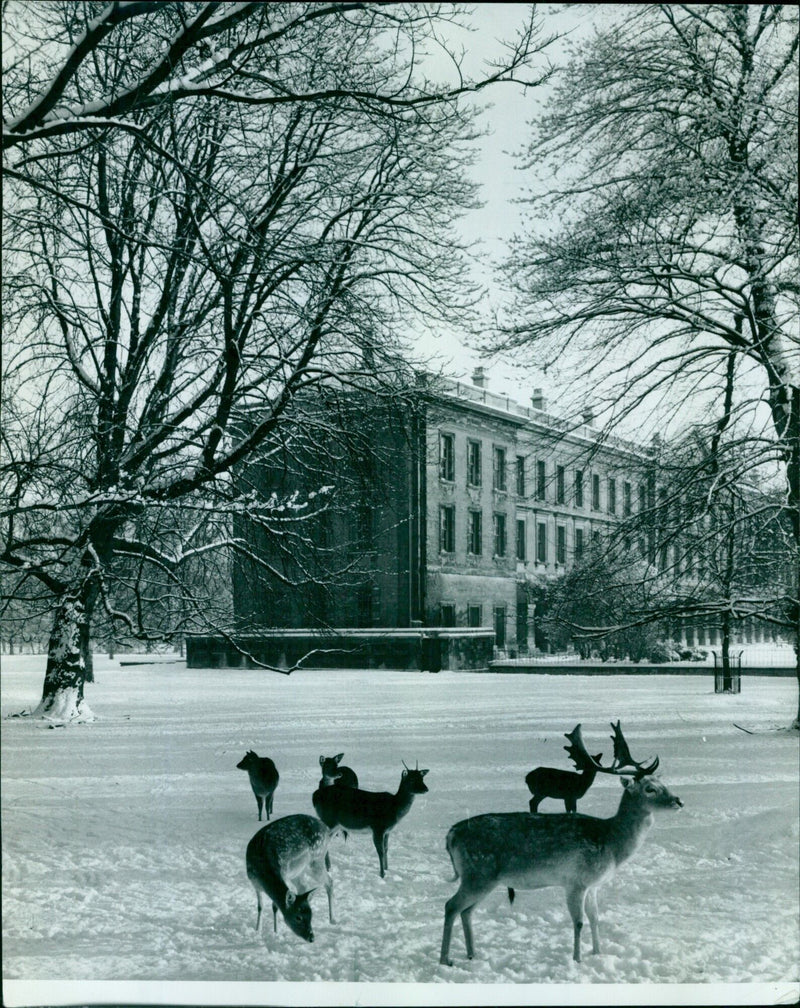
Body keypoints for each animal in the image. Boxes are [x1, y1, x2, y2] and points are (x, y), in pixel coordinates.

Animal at [244, 810, 340, 943]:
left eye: (311, 916)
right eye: (298, 917)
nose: (311, 937)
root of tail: (328, 831)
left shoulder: (283, 874)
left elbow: (275, 906)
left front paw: (276, 932)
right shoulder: (254, 882)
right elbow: (260, 907)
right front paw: (258, 929)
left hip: (316, 859)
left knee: (329, 881)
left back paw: (333, 919)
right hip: (299, 871)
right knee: (304, 886)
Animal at [437, 721, 681, 963]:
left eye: (664, 783)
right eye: (650, 789)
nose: (679, 801)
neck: (611, 844)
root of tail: (451, 835)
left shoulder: (593, 885)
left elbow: (595, 918)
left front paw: (598, 953)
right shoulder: (576, 880)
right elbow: (579, 922)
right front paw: (577, 959)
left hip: (485, 879)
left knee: (466, 911)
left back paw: (472, 953)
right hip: (478, 873)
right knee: (451, 906)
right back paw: (445, 959)